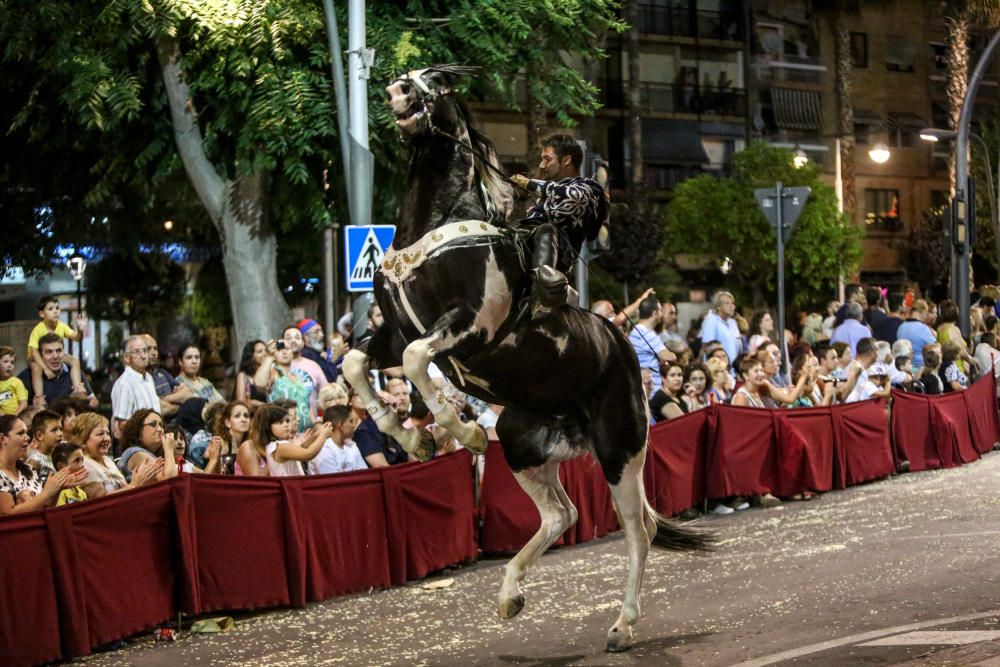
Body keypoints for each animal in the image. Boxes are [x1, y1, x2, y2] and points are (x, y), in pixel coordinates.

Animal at [342, 66, 712, 652]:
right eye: (411, 76)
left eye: (437, 81)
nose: (397, 89)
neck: (439, 225)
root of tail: (623, 345)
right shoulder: (391, 333)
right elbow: (357, 365)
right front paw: (415, 438)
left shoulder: (470, 327)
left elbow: (419, 359)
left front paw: (463, 431)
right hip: (522, 442)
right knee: (563, 514)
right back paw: (510, 596)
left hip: (621, 449)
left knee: (638, 530)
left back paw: (622, 625)